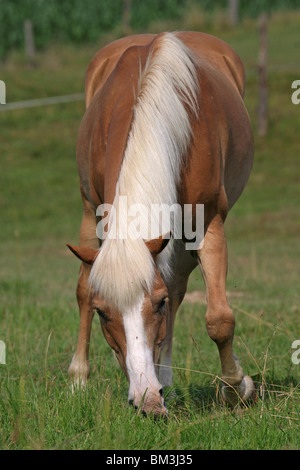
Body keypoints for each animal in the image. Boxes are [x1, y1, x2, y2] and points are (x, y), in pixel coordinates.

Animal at [67, 31, 254, 416]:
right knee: (82, 287)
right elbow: (85, 292)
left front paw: (237, 388)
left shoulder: (207, 224)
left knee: (181, 286)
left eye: (158, 304)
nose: (148, 399)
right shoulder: (97, 216)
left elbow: (218, 319)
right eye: (103, 314)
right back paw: (80, 377)